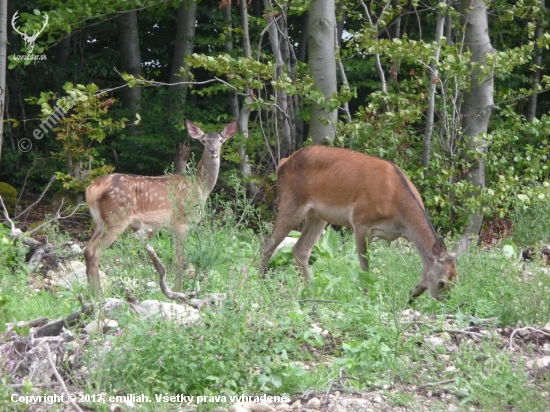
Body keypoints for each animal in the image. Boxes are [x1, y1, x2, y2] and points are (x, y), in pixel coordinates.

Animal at [84, 120, 237, 292]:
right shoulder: (181, 220)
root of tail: (92, 188)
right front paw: (178, 290)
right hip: (116, 218)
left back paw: (92, 292)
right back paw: (98, 293)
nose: (213, 151)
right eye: (203, 141)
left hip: (100, 221)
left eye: (221, 140)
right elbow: (180, 260)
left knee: (87, 249)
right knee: (94, 251)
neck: (200, 187)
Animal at [260, 146, 460, 300]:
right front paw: (366, 296)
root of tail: (283, 162)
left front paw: (412, 293)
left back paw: (311, 290)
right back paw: (261, 283)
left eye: (456, 279)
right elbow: (365, 266)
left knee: (300, 249)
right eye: (442, 282)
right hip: (291, 202)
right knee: (268, 245)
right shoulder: (360, 222)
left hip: (318, 215)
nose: (443, 302)